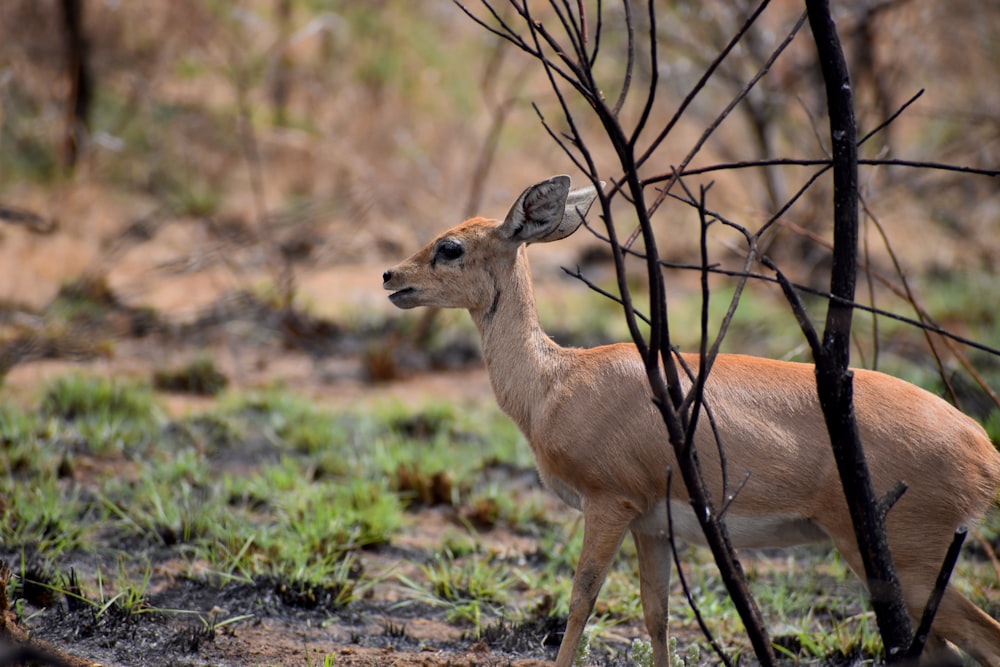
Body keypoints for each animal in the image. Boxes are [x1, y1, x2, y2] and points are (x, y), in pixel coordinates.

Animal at [382, 176, 1000, 667]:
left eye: (451, 247)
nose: (390, 276)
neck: (555, 384)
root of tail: (983, 448)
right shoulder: (651, 524)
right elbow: (656, 613)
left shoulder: (607, 503)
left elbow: (581, 599)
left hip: (903, 558)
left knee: (980, 639)